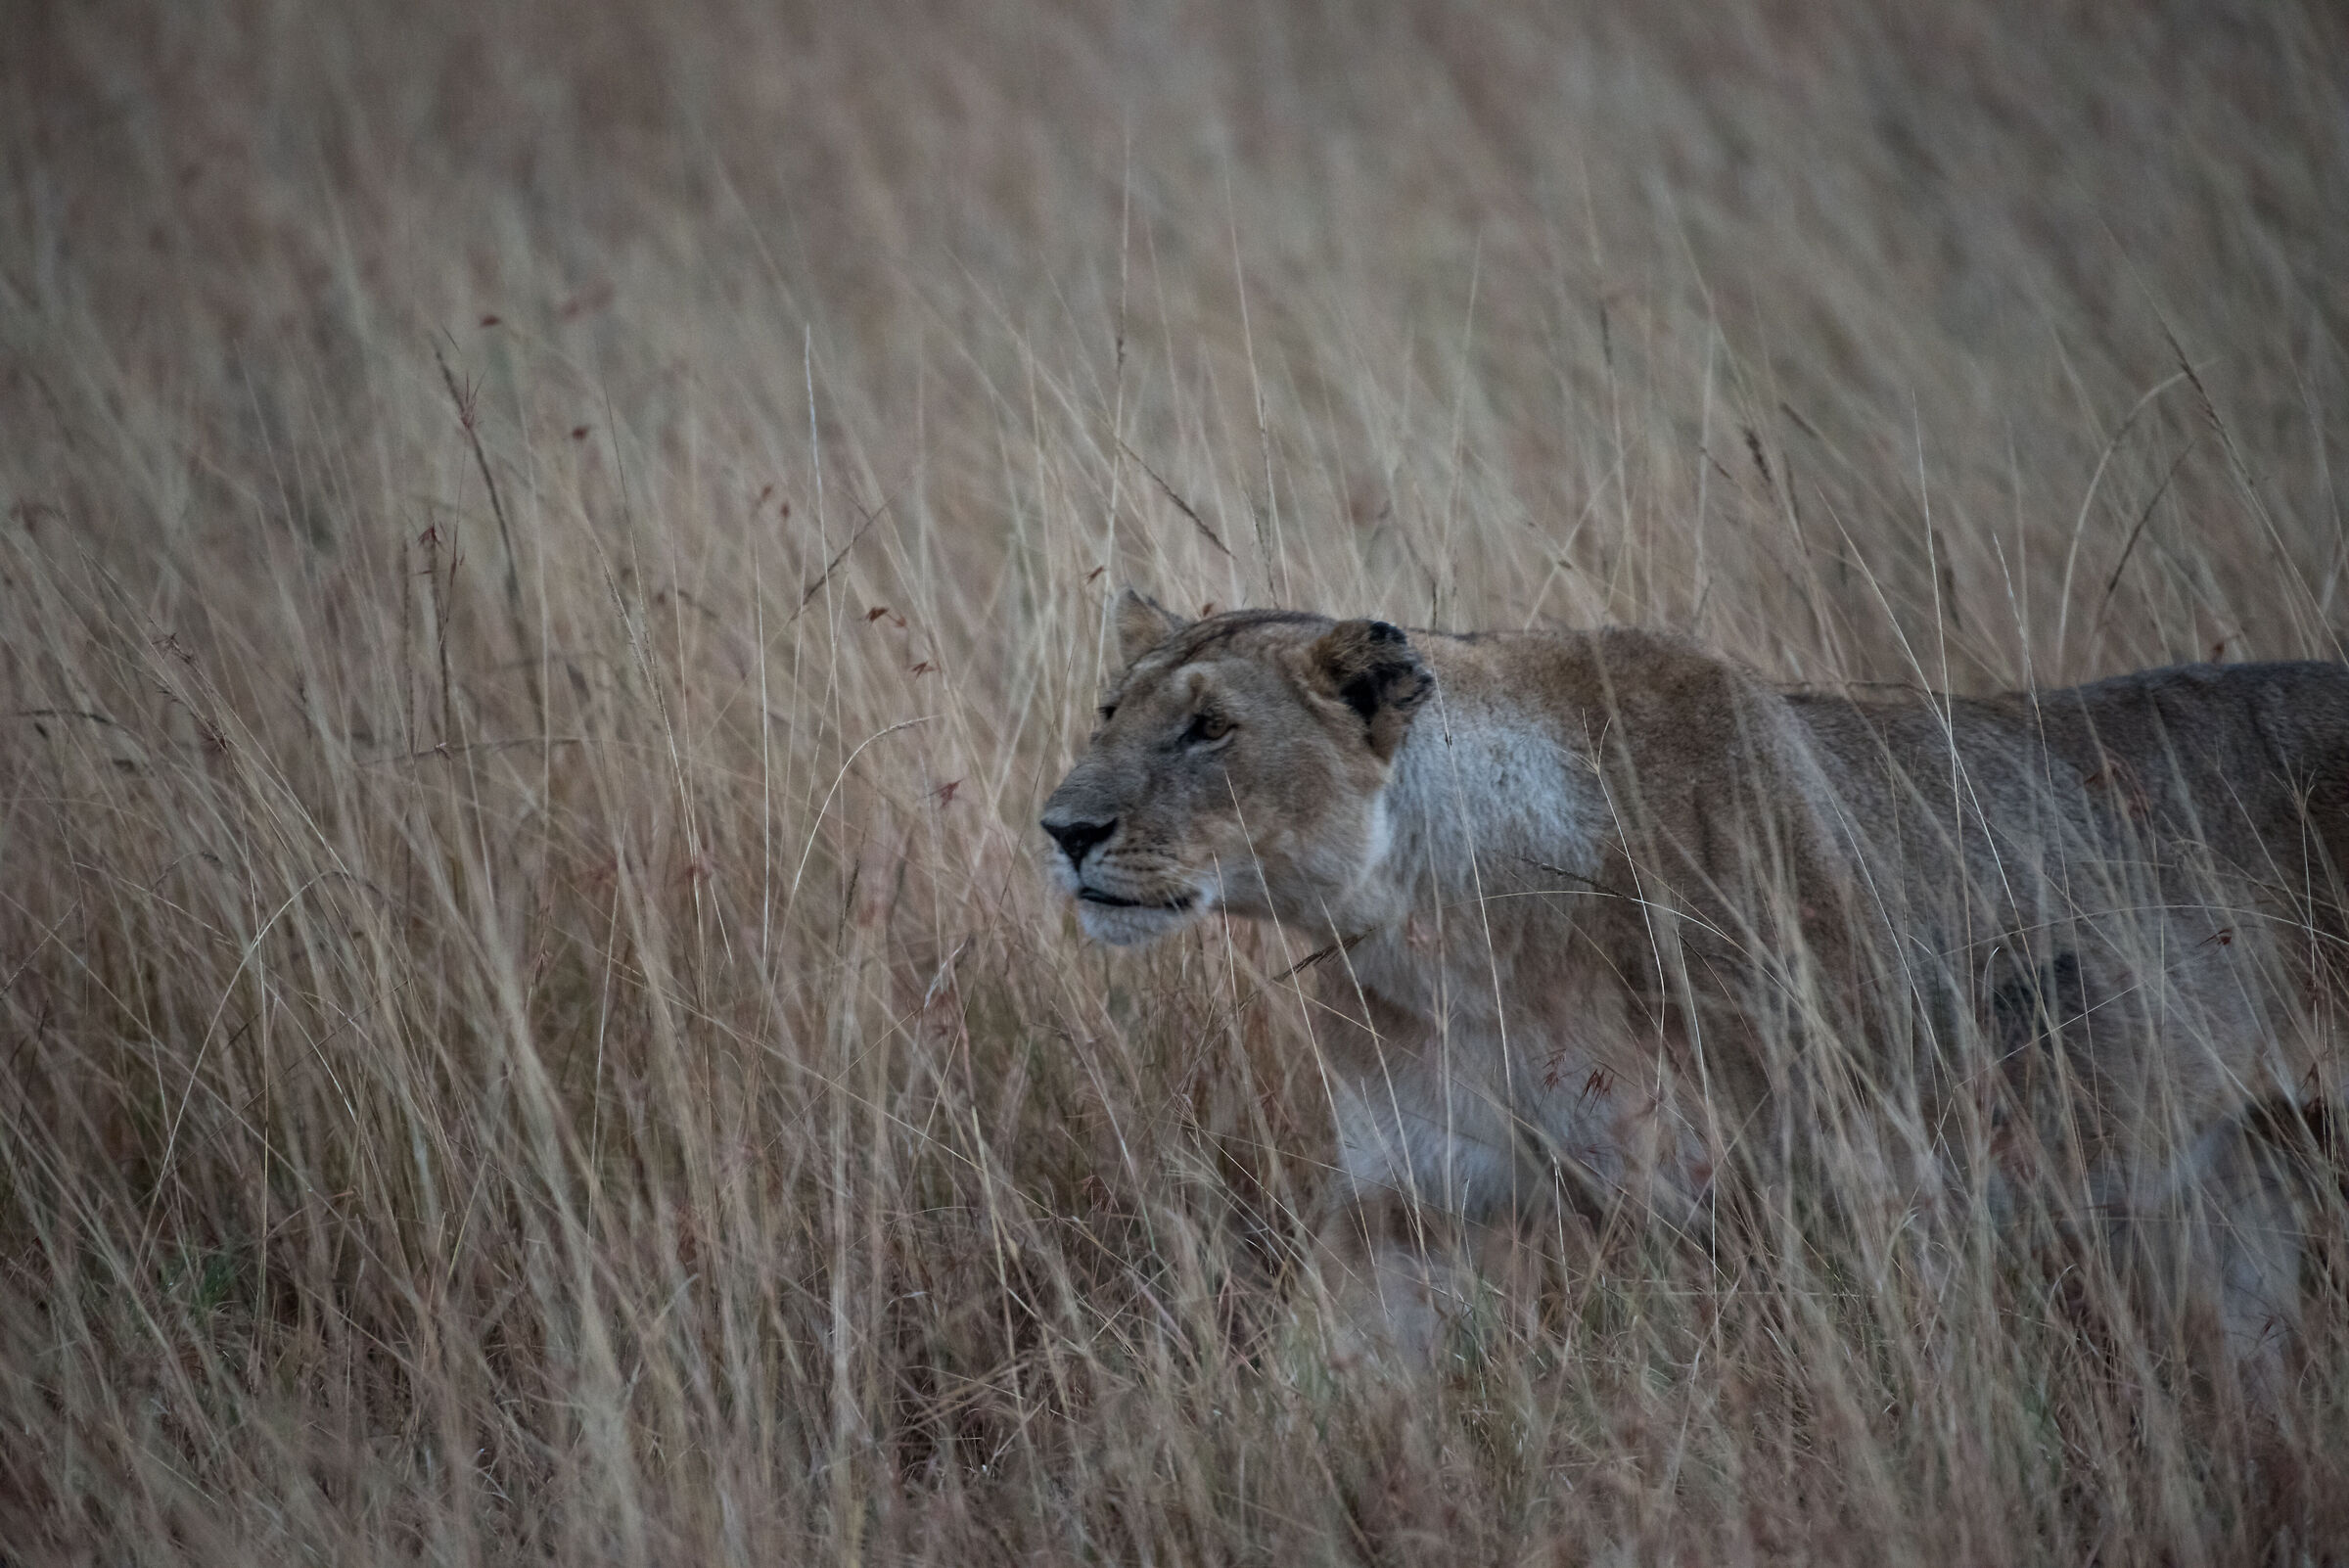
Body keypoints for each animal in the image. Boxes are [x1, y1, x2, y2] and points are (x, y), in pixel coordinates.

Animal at [1042, 590, 2348, 1381]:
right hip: (2241, 1180)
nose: (1061, 828)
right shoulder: (1411, 1203)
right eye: (1108, 711)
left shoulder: (1871, 1183)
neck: (1452, 936)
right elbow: (1329, 1379)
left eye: (1209, 730)